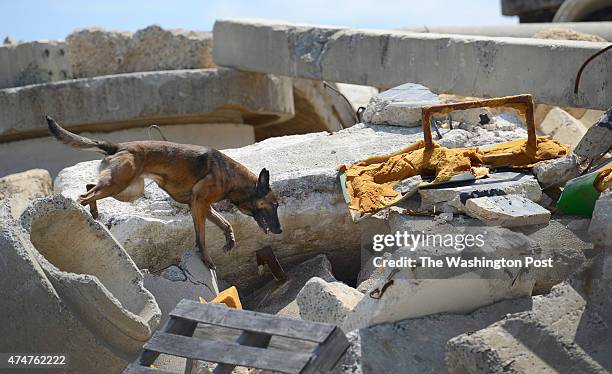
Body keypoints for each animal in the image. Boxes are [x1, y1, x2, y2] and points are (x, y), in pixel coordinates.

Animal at [46, 116, 284, 268]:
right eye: (274, 205)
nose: (280, 230)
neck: (232, 176)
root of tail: (119, 146)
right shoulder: (199, 204)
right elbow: (201, 237)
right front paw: (206, 259)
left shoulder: (202, 206)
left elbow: (226, 223)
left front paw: (230, 240)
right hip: (119, 185)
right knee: (84, 196)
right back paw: (80, 212)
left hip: (127, 189)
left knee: (89, 187)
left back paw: (94, 214)